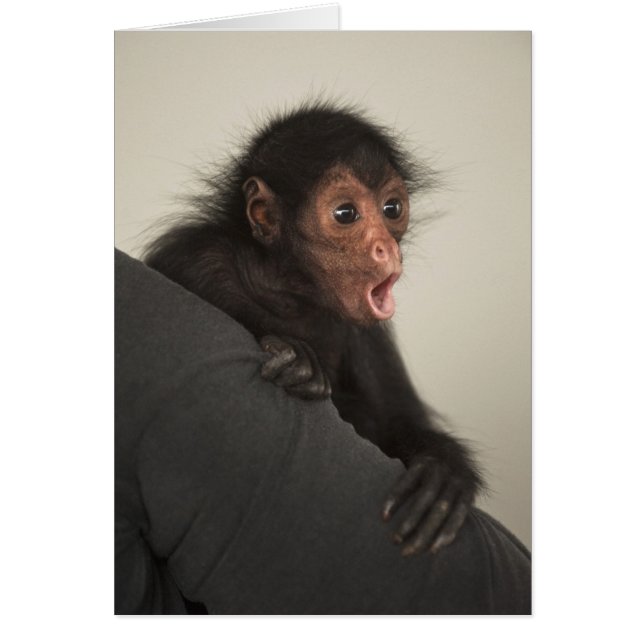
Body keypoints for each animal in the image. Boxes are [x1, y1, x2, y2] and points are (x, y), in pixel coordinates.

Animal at [143, 100, 484, 556]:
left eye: (392, 209)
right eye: (345, 214)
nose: (386, 248)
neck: (287, 292)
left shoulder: (367, 334)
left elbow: (393, 423)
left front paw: (442, 470)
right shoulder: (197, 259)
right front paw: (298, 359)